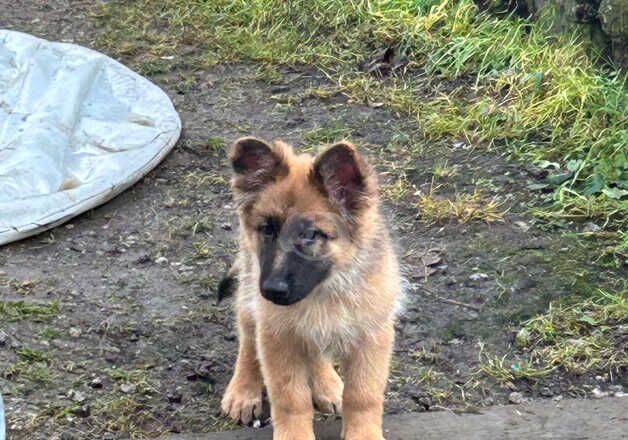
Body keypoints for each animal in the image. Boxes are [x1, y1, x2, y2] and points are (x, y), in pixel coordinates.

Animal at [221, 138, 402, 440]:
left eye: (310, 235)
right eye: (267, 229)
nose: (271, 291)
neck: (324, 290)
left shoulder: (372, 335)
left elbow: (363, 394)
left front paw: (362, 432)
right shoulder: (277, 336)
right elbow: (291, 399)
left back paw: (327, 384)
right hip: (250, 286)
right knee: (247, 334)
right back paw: (243, 391)